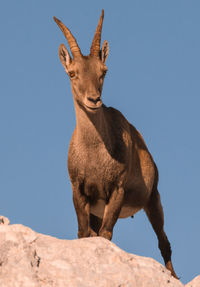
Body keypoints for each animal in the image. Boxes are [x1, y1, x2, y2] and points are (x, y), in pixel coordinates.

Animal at [54, 10, 177, 280]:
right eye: (72, 73)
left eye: (104, 71)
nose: (93, 100)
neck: (94, 154)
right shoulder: (78, 189)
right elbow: (83, 234)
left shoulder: (117, 190)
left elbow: (106, 235)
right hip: (98, 209)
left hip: (153, 198)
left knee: (164, 242)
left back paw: (173, 276)